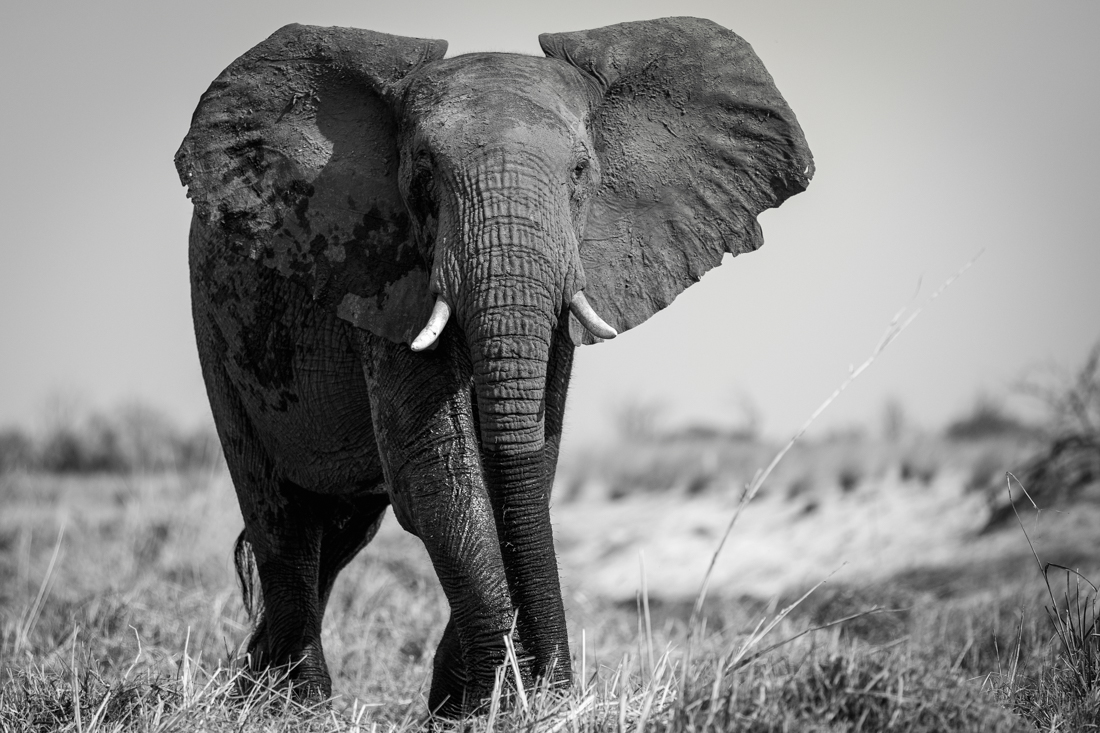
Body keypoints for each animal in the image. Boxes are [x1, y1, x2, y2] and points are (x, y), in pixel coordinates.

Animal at [175, 17, 812, 717]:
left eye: (581, 173)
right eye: (423, 176)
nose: (563, 685)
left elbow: (529, 459)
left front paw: (472, 705)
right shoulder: (387, 266)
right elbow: (441, 478)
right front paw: (495, 705)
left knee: (339, 532)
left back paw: (254, 686)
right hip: (216, 328)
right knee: (281, 519)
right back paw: (296, 706)